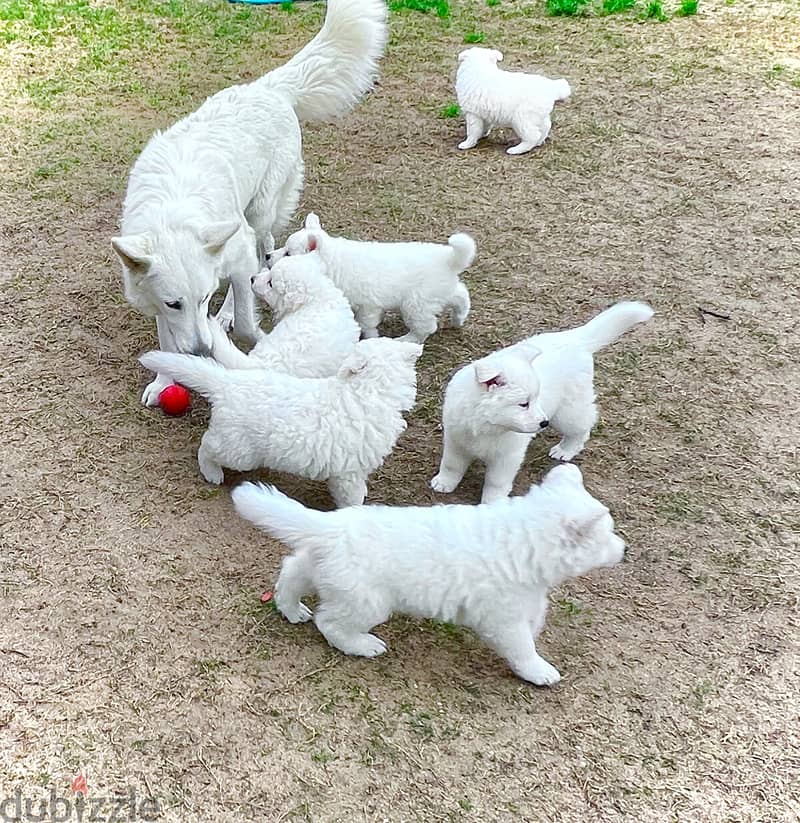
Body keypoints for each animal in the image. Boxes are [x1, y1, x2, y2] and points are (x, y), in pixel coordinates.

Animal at [231, 464, 624, 688]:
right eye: (607, 535)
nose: (624, 548)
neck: (524, 538)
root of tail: (330, 527)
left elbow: (534, 618)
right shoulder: (502, 618)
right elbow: (523, 646)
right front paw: (539, 671)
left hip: (320, 567)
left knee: (291, 572)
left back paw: (291, 609)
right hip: (368, 601)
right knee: (331, 624)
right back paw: (363, 645)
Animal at [266, 212, 476, 344]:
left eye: (288, 254)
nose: (267, 256)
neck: (334, 263)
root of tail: (449, 260)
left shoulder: (368, 305)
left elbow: (366, 324)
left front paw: (371, 337)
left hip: (416, 305)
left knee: (426, 327)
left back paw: (407, 339)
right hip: (440, 292)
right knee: (461, 295)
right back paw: (459, 318)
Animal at [434, 302, 652, 502]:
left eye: (535, 399)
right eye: (524, 404)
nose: (543, 423)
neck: (486, 424)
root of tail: (575, 339)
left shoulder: (507, 456)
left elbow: (495, 483)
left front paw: (492, 505)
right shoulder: (456, 441)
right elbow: (451, 465)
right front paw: (444, 483)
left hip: (567, 411)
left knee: (582, 426)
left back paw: (566, 450)